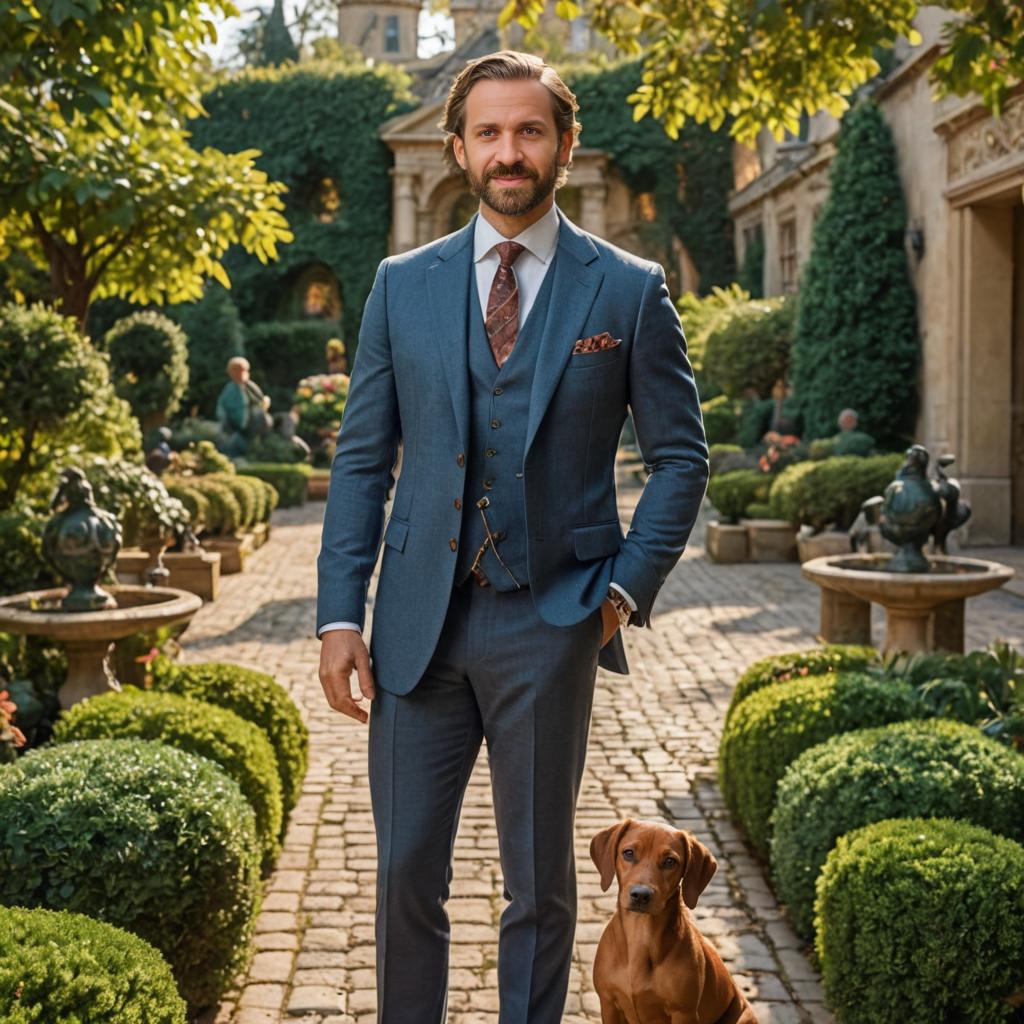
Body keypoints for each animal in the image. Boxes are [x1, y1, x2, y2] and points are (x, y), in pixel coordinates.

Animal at [593, 815, 761, 1024]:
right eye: (628, 853)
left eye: (670, 861)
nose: (641, 895)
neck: (640, 935)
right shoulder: (608, 1004)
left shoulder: (684, 1013)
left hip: (743, 1017)